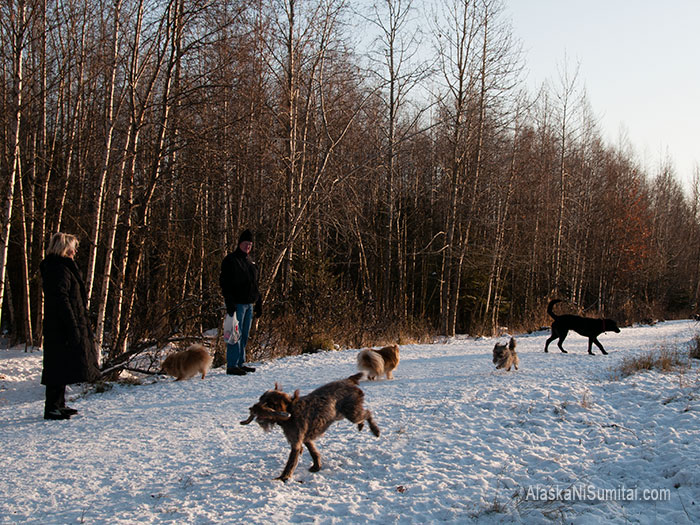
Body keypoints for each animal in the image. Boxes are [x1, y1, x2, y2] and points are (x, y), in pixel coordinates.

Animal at [242, 372, 382, 478]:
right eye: (261, 399)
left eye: (270, 403)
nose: (253, 408)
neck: (291, 412)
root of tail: (348, 381)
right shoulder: (305, 438)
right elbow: (313, 452)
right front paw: (316, 466)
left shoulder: (296, 442)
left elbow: (291, 463)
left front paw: (283, 478)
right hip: (343, 413)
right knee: (363, 415)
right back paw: (361, 426)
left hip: (351, 413)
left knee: (367, 413)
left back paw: (375, 430)